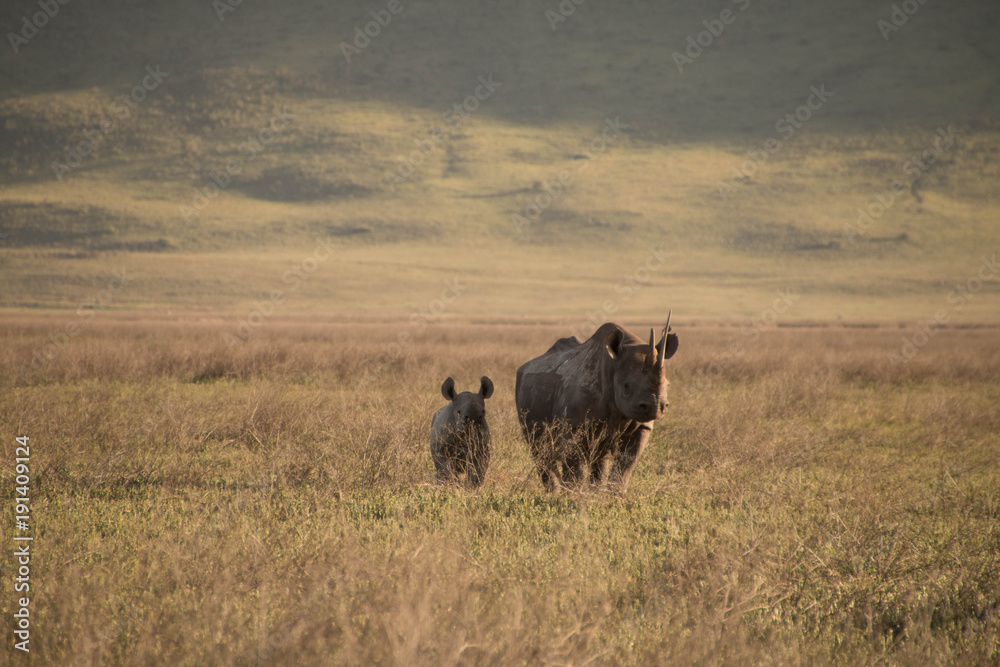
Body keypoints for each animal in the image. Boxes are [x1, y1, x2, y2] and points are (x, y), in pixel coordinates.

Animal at [515, 315, 678, 491]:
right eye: (626, 387)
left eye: (668, 385)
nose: (656, 406)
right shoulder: (574, 426)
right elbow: (575, 465)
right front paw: (574, 495)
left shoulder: (642, 425)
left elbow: (626, 462)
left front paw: (615, 494)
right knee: (540, 451)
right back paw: (555, 493)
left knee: (600, 456)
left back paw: (594, 492)